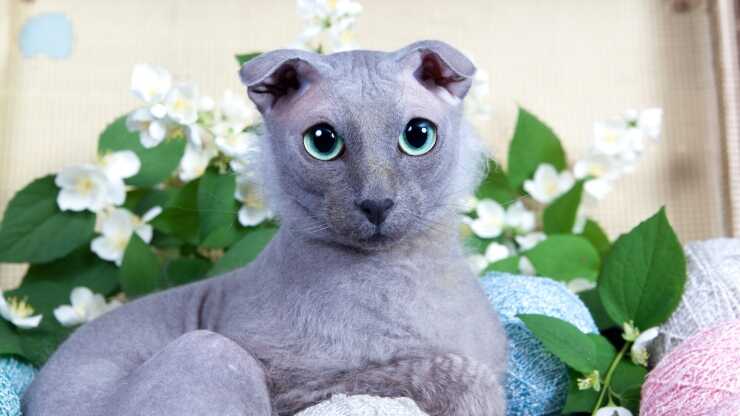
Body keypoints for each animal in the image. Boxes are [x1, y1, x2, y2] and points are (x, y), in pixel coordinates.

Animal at [23, 40, 507, 416]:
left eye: (418, 135)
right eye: (322, 142)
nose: (376, 203)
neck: (404, 273)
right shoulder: (297, 387)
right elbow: (449, 371)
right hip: (210, 350)